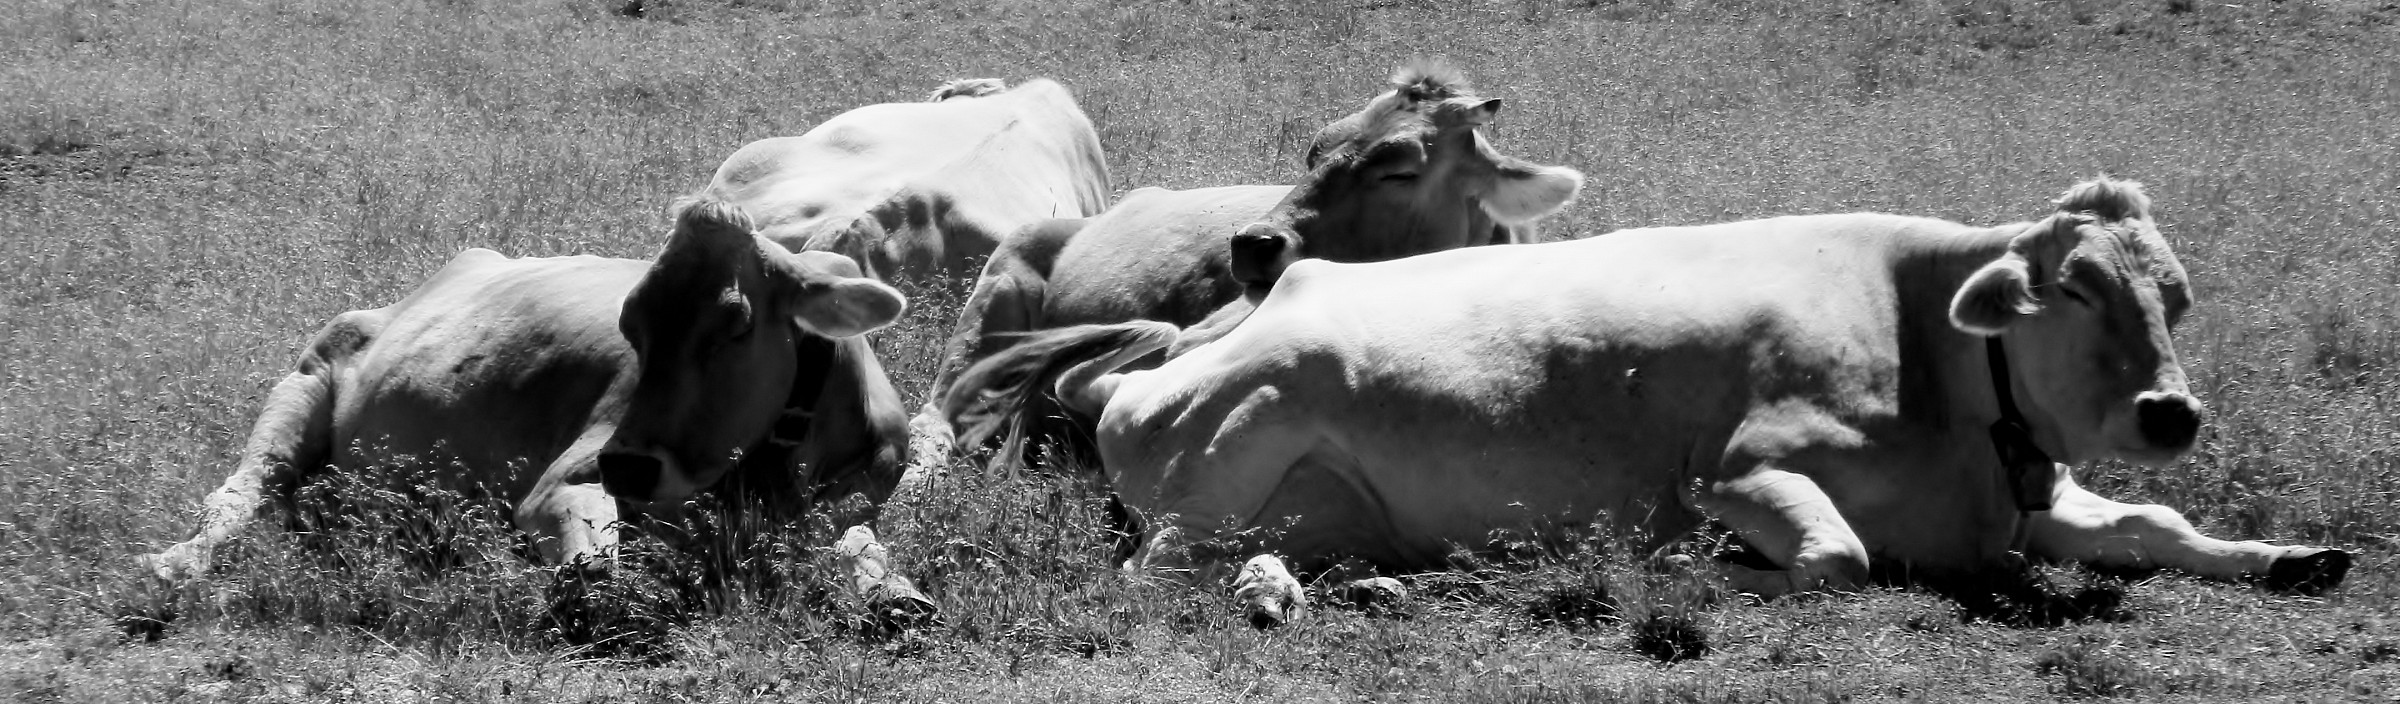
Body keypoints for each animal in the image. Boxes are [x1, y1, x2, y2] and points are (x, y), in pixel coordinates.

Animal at [144, 200, 934, 613]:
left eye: (736, 325)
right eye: (631, 326)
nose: (629, 466)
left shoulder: (863, 489)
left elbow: (854, 537)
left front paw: (891, 589)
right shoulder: (567, 474)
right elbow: (590, 558)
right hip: (302, 383)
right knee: (241, 492)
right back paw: (177, 563)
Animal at [943, 178, 2352, 627]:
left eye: (2174, 294)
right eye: (2070, 289)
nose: (2172, 414)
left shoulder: (2037, 495)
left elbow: (2155, 530)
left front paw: (2291, 555)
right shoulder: (1738, 461)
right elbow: (1835, 556)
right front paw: (1686, 567)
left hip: (1322, 496)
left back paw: (1384, 581)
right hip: (1239, 440)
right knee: (1168, 567)